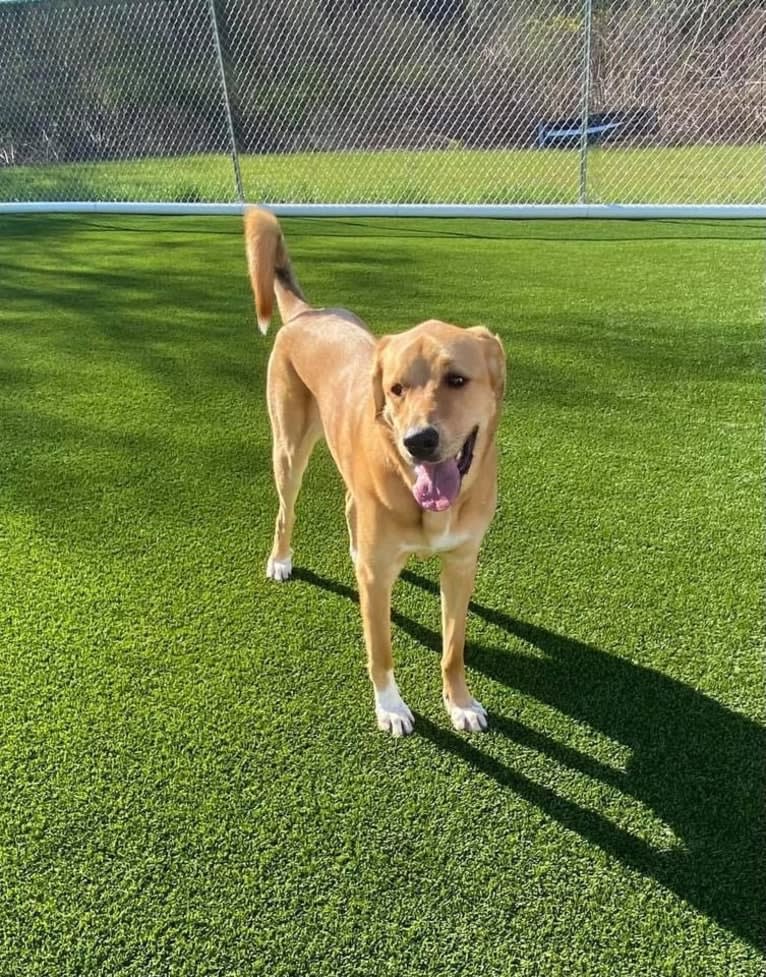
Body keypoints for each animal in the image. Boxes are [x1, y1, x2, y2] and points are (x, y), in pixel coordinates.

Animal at [246, 210, 508, 736]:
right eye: (396, 388)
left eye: (457, 379)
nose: (418, 441)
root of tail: (308, 314)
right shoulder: (378, 577)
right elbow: (381, 650)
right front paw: (390, 707)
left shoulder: (461, 564)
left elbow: (453, 650)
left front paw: (460, 702)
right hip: (288, 451)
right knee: (286, 510)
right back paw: (281, 559)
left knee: (350, 505)